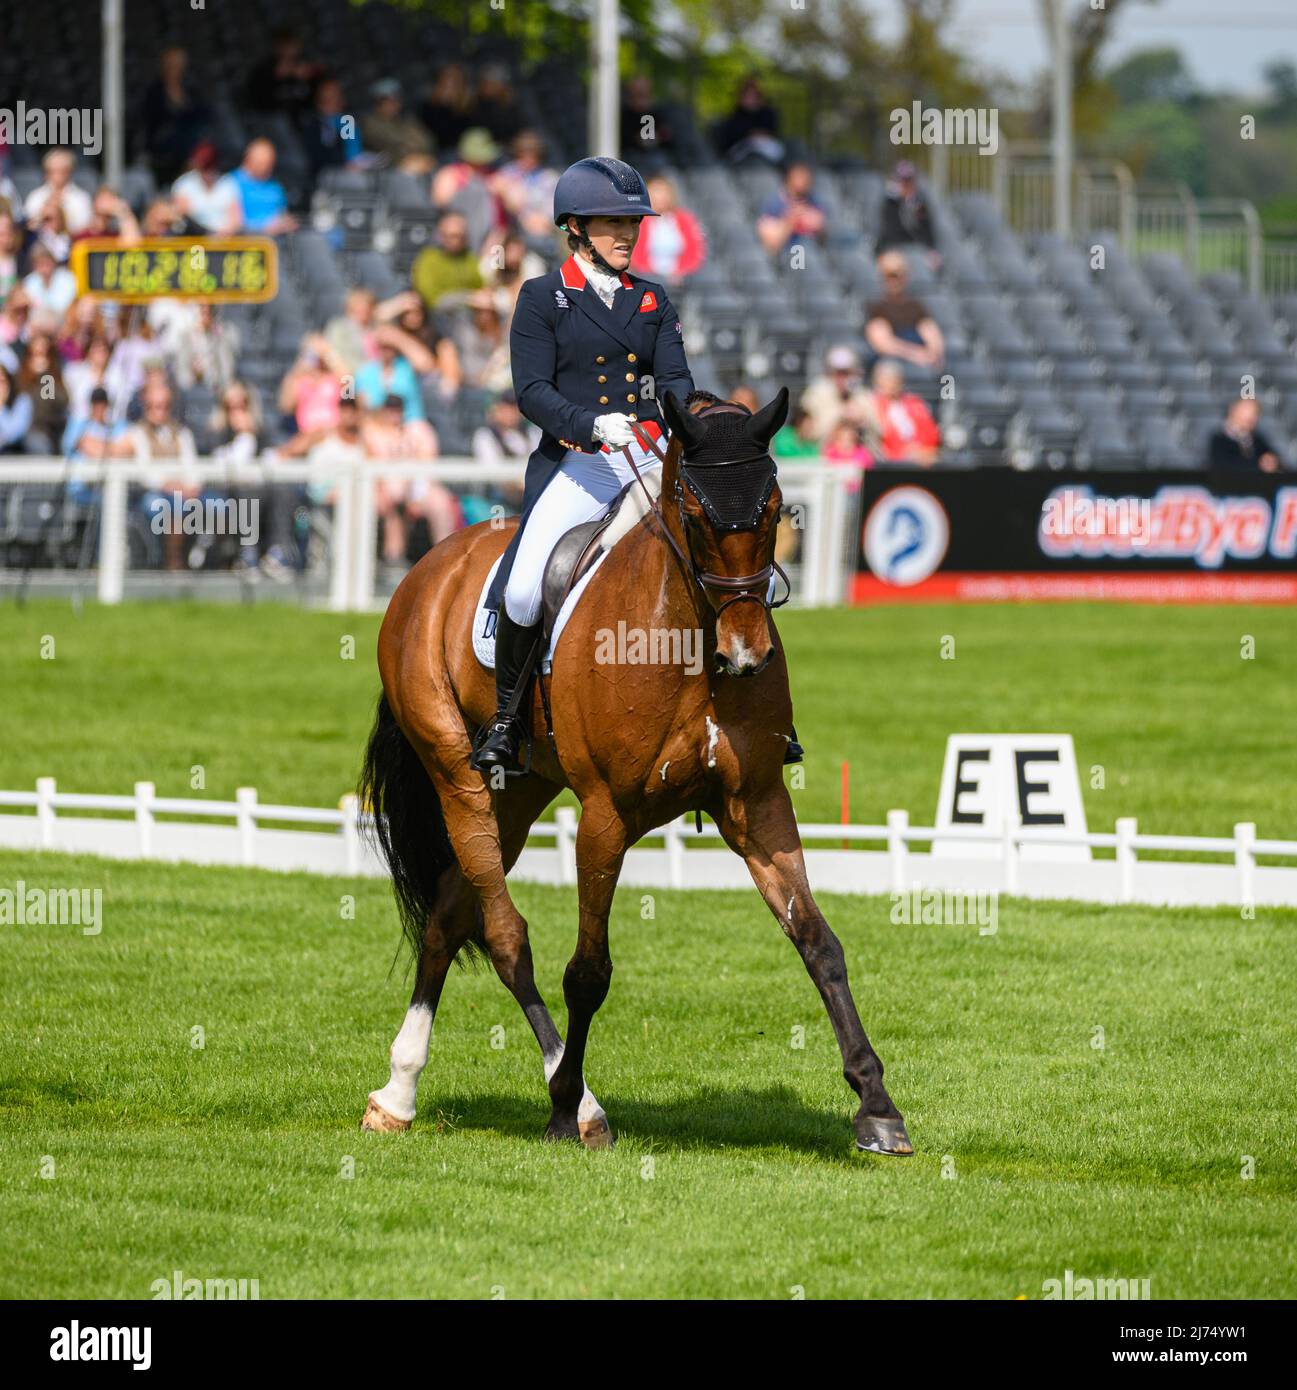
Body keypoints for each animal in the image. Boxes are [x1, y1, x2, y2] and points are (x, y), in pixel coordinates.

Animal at [355, 386, 911, 1156]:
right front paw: (564, 1110)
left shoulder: (759, 802)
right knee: (505, 936)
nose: (746, 655)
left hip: (518, 791)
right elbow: (588, 971)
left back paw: (398, 1093)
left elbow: (818, 942)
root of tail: (431, 565)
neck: (689, 641)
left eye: (774, 509)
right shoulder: (605, 816)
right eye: (697, 515)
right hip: (455, 772)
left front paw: (877, 1108)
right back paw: (576, 1101)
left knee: (448, 917)